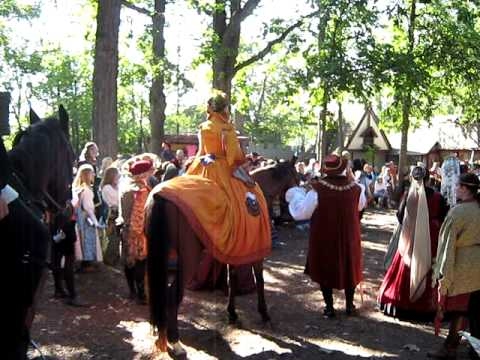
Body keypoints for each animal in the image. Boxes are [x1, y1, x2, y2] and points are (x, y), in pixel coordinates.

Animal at [144, 157, 298, 352]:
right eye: (297, 176)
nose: (289, 215)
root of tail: (159, 196)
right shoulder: (256, 253)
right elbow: (260, 281)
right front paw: (264, 314)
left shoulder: (233, 253)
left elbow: (232, 280)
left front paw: (232, 313)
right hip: (187, 260)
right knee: (172, 296)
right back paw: (174, 340)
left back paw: (160, 331)